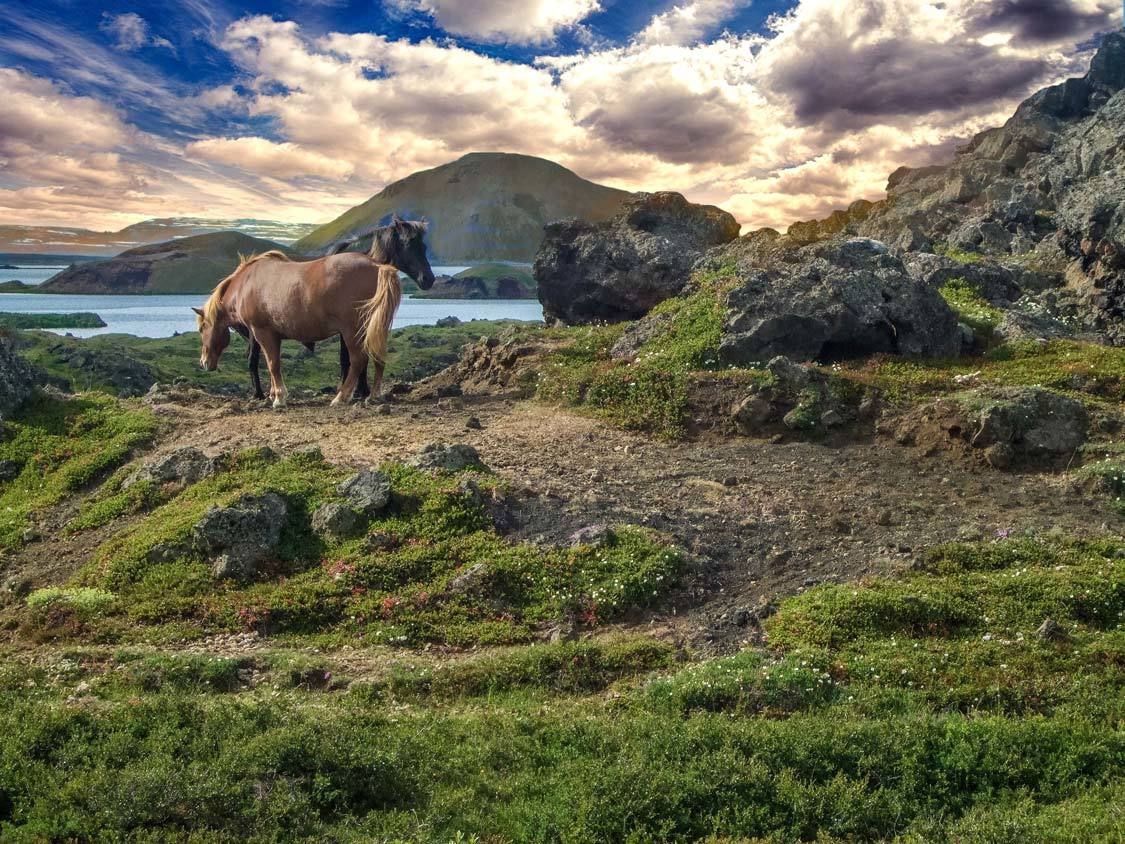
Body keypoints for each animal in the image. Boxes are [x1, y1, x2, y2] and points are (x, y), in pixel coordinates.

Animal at [195, 214, 432, 407]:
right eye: (410, 245)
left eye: (202, 329)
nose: (204, 363)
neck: (246, 283)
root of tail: (377, 265)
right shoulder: (269, 335)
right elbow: (270, 363)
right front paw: (273, 394)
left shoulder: (263, 333)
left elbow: (273, 364)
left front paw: (279, 397)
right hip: (372, 326)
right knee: (376, 356)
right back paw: (372, 395)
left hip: (353, 329)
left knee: (358, 359)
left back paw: (341, 397)